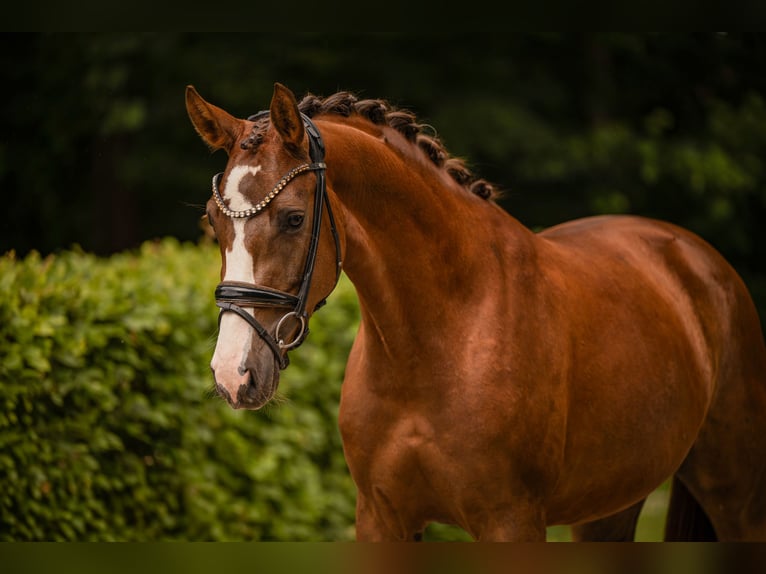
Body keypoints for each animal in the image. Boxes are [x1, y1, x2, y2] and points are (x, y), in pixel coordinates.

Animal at [185, 82, 766, 541]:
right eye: (214, 220)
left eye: (292, 218)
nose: (233, 374)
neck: (442, 337)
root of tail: (695, 256)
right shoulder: (381, 518)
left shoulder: (511, 522)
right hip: (610, 504)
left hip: (734, 494)